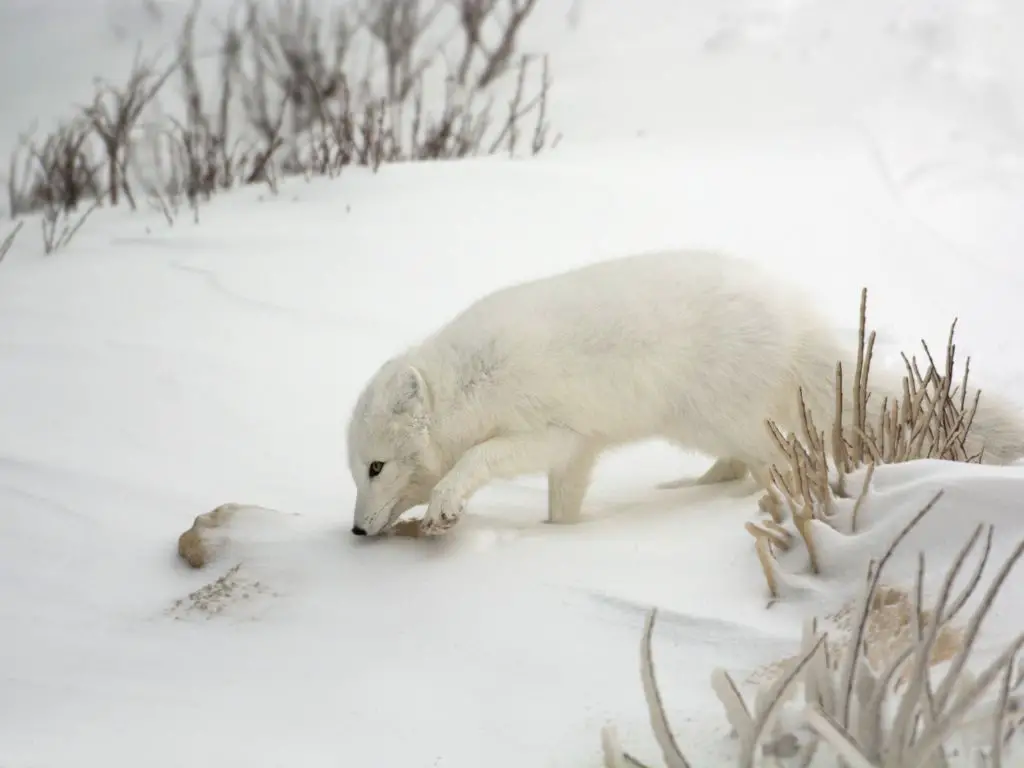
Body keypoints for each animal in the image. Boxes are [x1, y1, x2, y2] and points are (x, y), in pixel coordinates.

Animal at [346, 249, 1024, 536]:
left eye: (376, 467)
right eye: (358, 472)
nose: (354, 532)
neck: (471, 383)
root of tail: (794, 320)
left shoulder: (553, 432)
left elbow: (475, 459)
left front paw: (447, 504)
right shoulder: (577, 451)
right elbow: (563, 506)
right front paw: (559, 536)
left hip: (719, 419)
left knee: (773, 468)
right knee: (739, 467)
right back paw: (682, 490)